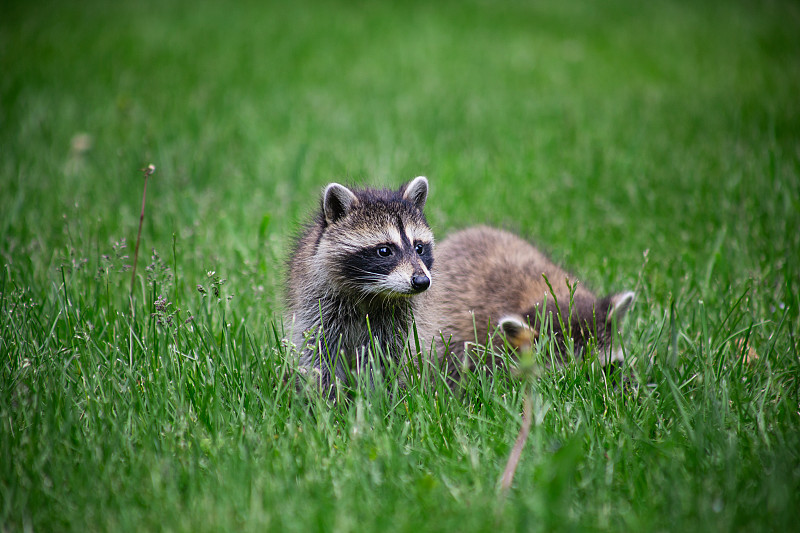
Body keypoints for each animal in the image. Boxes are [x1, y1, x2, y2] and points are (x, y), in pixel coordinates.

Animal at [288, 177, 434, 396]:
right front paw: (328, 396)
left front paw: (376, 395)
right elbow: (319, 351)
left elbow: (383, 353)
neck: (371, 291)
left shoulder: (395, 318)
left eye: (419, 248)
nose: (422, 281)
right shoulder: (317, 301)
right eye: (384, 250)